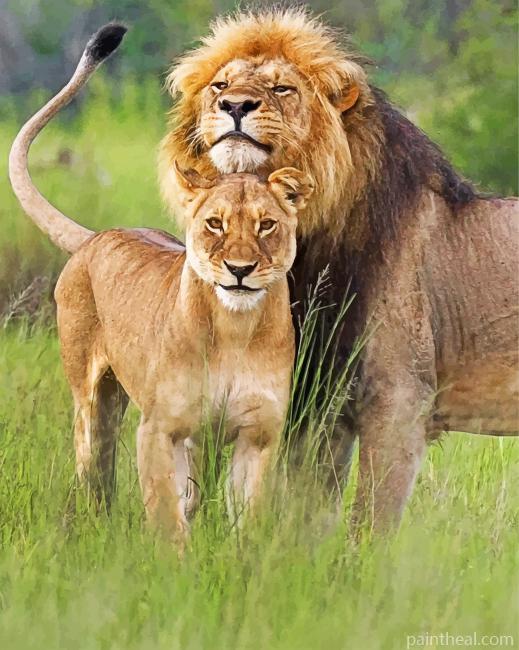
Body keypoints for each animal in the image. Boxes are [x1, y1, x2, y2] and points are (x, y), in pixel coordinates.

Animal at [8, 24, 314, 537]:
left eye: (267, 225)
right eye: (215, 224)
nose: (240, 269)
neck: (234, 329)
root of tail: (98, 235)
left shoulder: (257, 435)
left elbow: (245, 523)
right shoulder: (158, 428)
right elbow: (168, 520)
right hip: (95, 405)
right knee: (95, 473)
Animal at [158, 8, 519, 530]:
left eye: (282, 87)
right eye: (220, 84)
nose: (234, 105)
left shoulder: (400, 404)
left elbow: (367, 526)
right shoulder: (321, 406)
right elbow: (306, 517)